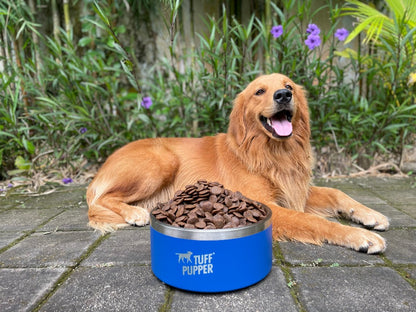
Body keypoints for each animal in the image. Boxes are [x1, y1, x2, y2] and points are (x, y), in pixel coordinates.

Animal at [86, 73, 388, 254]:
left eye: (288, 86)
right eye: (260, 91)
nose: (283, 95)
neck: (272, 153)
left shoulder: (294, 190)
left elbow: (338, 193)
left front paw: (370, 215)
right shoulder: (266, 205)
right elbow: (314, 221)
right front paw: (358, 236)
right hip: (162, 161)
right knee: (102, 199)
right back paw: (134, 213)